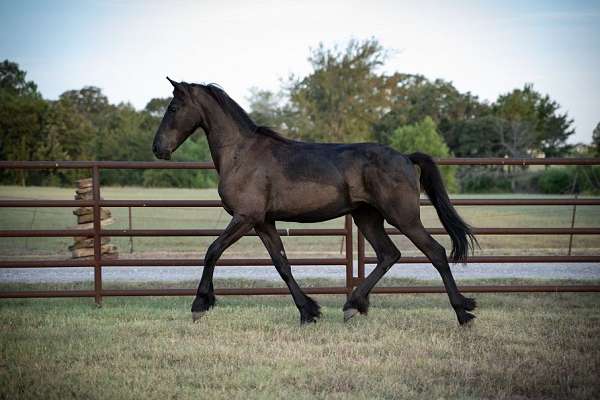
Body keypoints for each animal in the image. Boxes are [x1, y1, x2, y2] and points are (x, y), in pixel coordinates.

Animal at [151, 77, 478, 324]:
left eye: (174, 107)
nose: (158, 148)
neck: (241, 153)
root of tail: (406, 158)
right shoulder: (263, 222)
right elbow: (282, 264)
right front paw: (308, 311)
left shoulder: (245, 217)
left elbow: (212, 251)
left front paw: (199, 305)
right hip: (367, 217)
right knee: (389, 254)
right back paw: (353, 305)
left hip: (404, 217)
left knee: (435, 252)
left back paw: (463, 312)